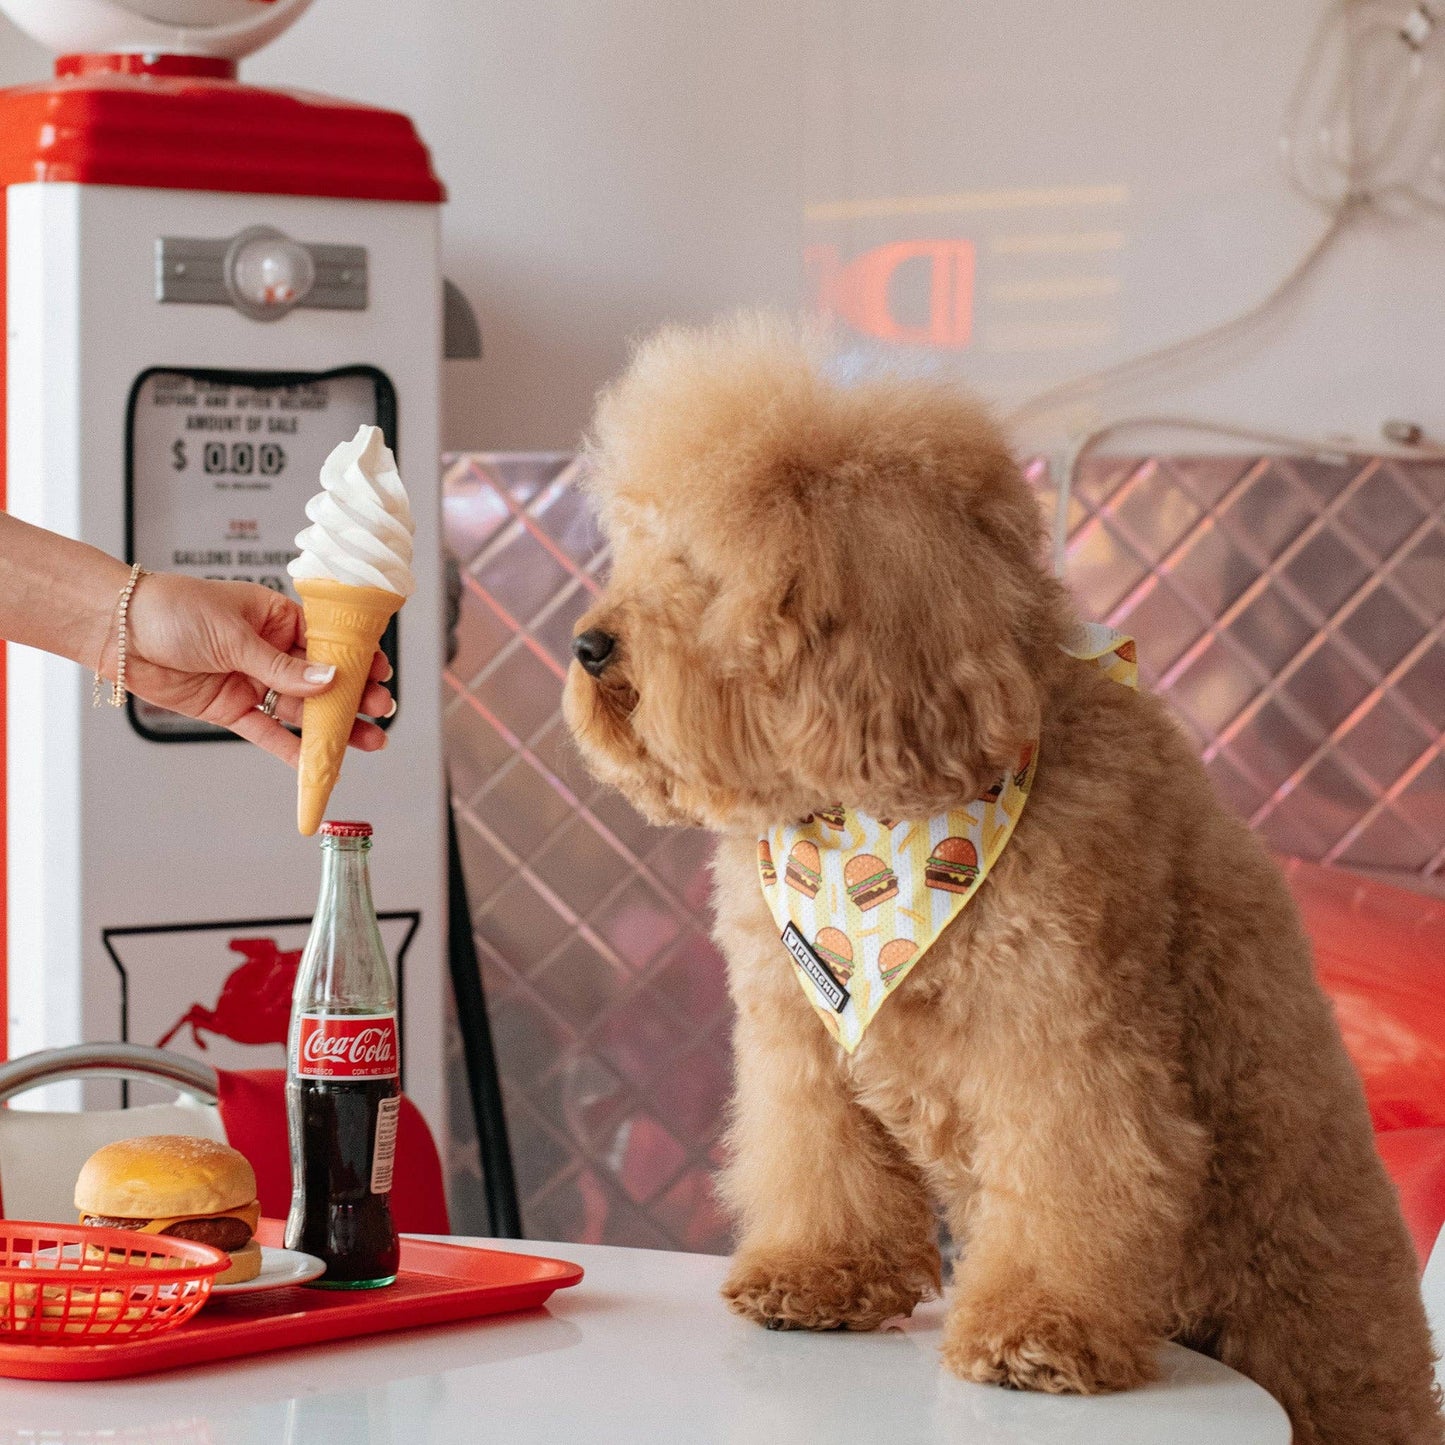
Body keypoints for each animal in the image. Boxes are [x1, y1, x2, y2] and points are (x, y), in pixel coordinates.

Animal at [563, 310, 1445, 1439]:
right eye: (635, 544)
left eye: (702, 565)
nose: (589, 644)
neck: (873, 817)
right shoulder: (801, 1038)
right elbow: (818, 1157)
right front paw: (814, 1274)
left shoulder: (1062, 1038)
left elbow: (1075, 1179)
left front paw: (1037, 1332)